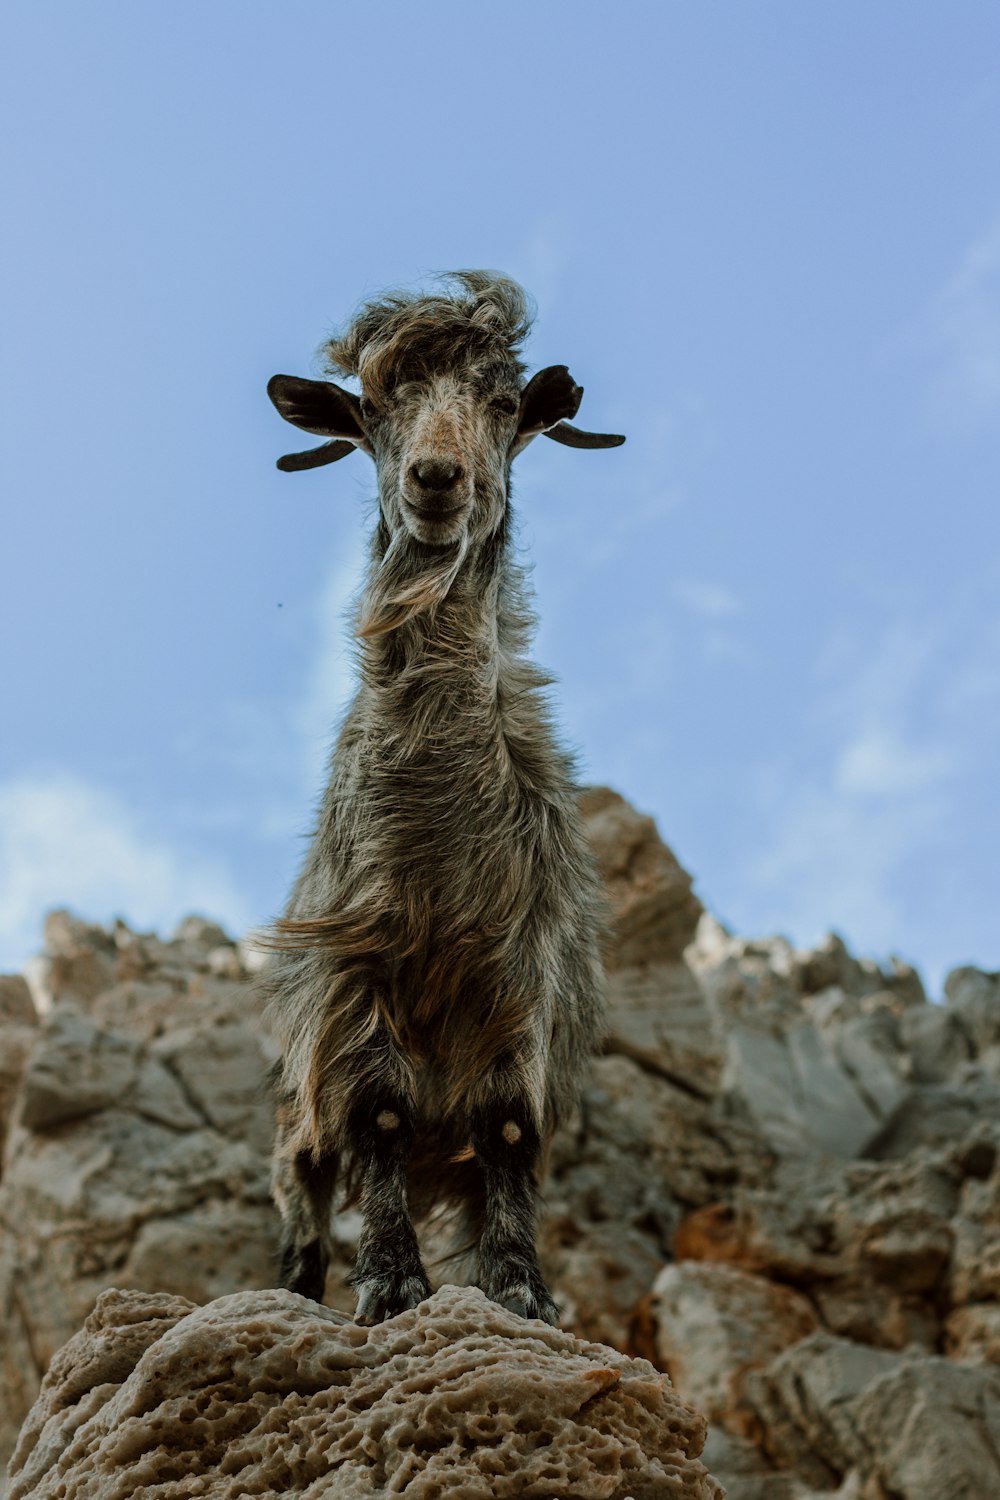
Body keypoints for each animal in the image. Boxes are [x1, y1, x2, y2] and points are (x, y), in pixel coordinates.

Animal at [265, 270, 626, 1326]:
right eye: (376, 405)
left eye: (502, 404)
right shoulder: (354, 984)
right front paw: (390, 1285)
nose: (436, 479)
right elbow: (376, 1116)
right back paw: (294, 1288)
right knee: (303, 1182)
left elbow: (506, 1132)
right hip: (296, 1097)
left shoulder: (521, 985)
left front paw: (524, 1293)